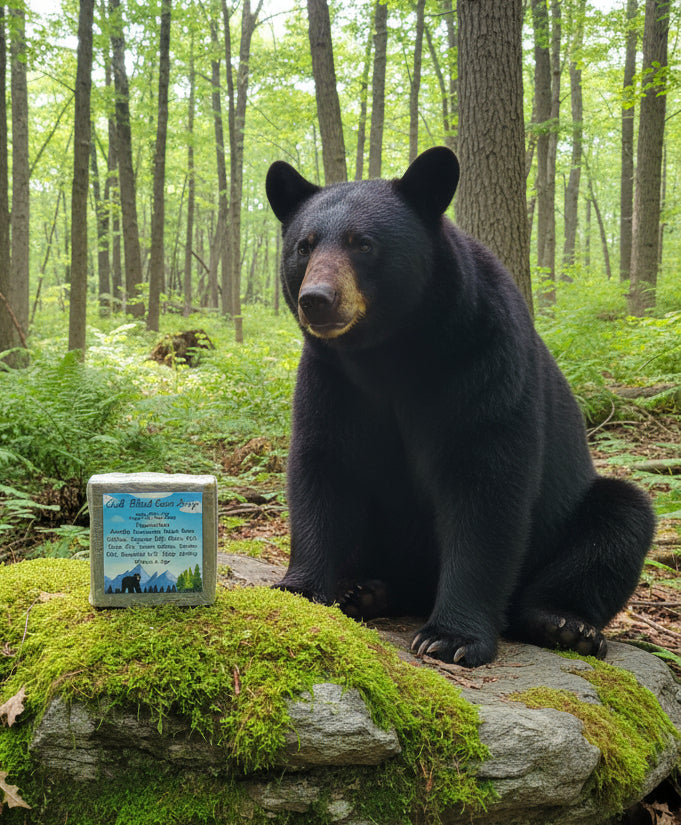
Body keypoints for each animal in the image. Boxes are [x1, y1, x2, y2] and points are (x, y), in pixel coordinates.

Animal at [265, 146, 655, 667]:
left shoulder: (481, 359)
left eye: (362, 243)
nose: (317, 300)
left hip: (578, 514)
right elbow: (323, 467)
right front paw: (299, 589)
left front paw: (451, 636)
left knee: (618, 522)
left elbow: (485, 482)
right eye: (304, 246)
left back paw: (564, 625)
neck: (388, 352)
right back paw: (366, 592)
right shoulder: (333, 379)